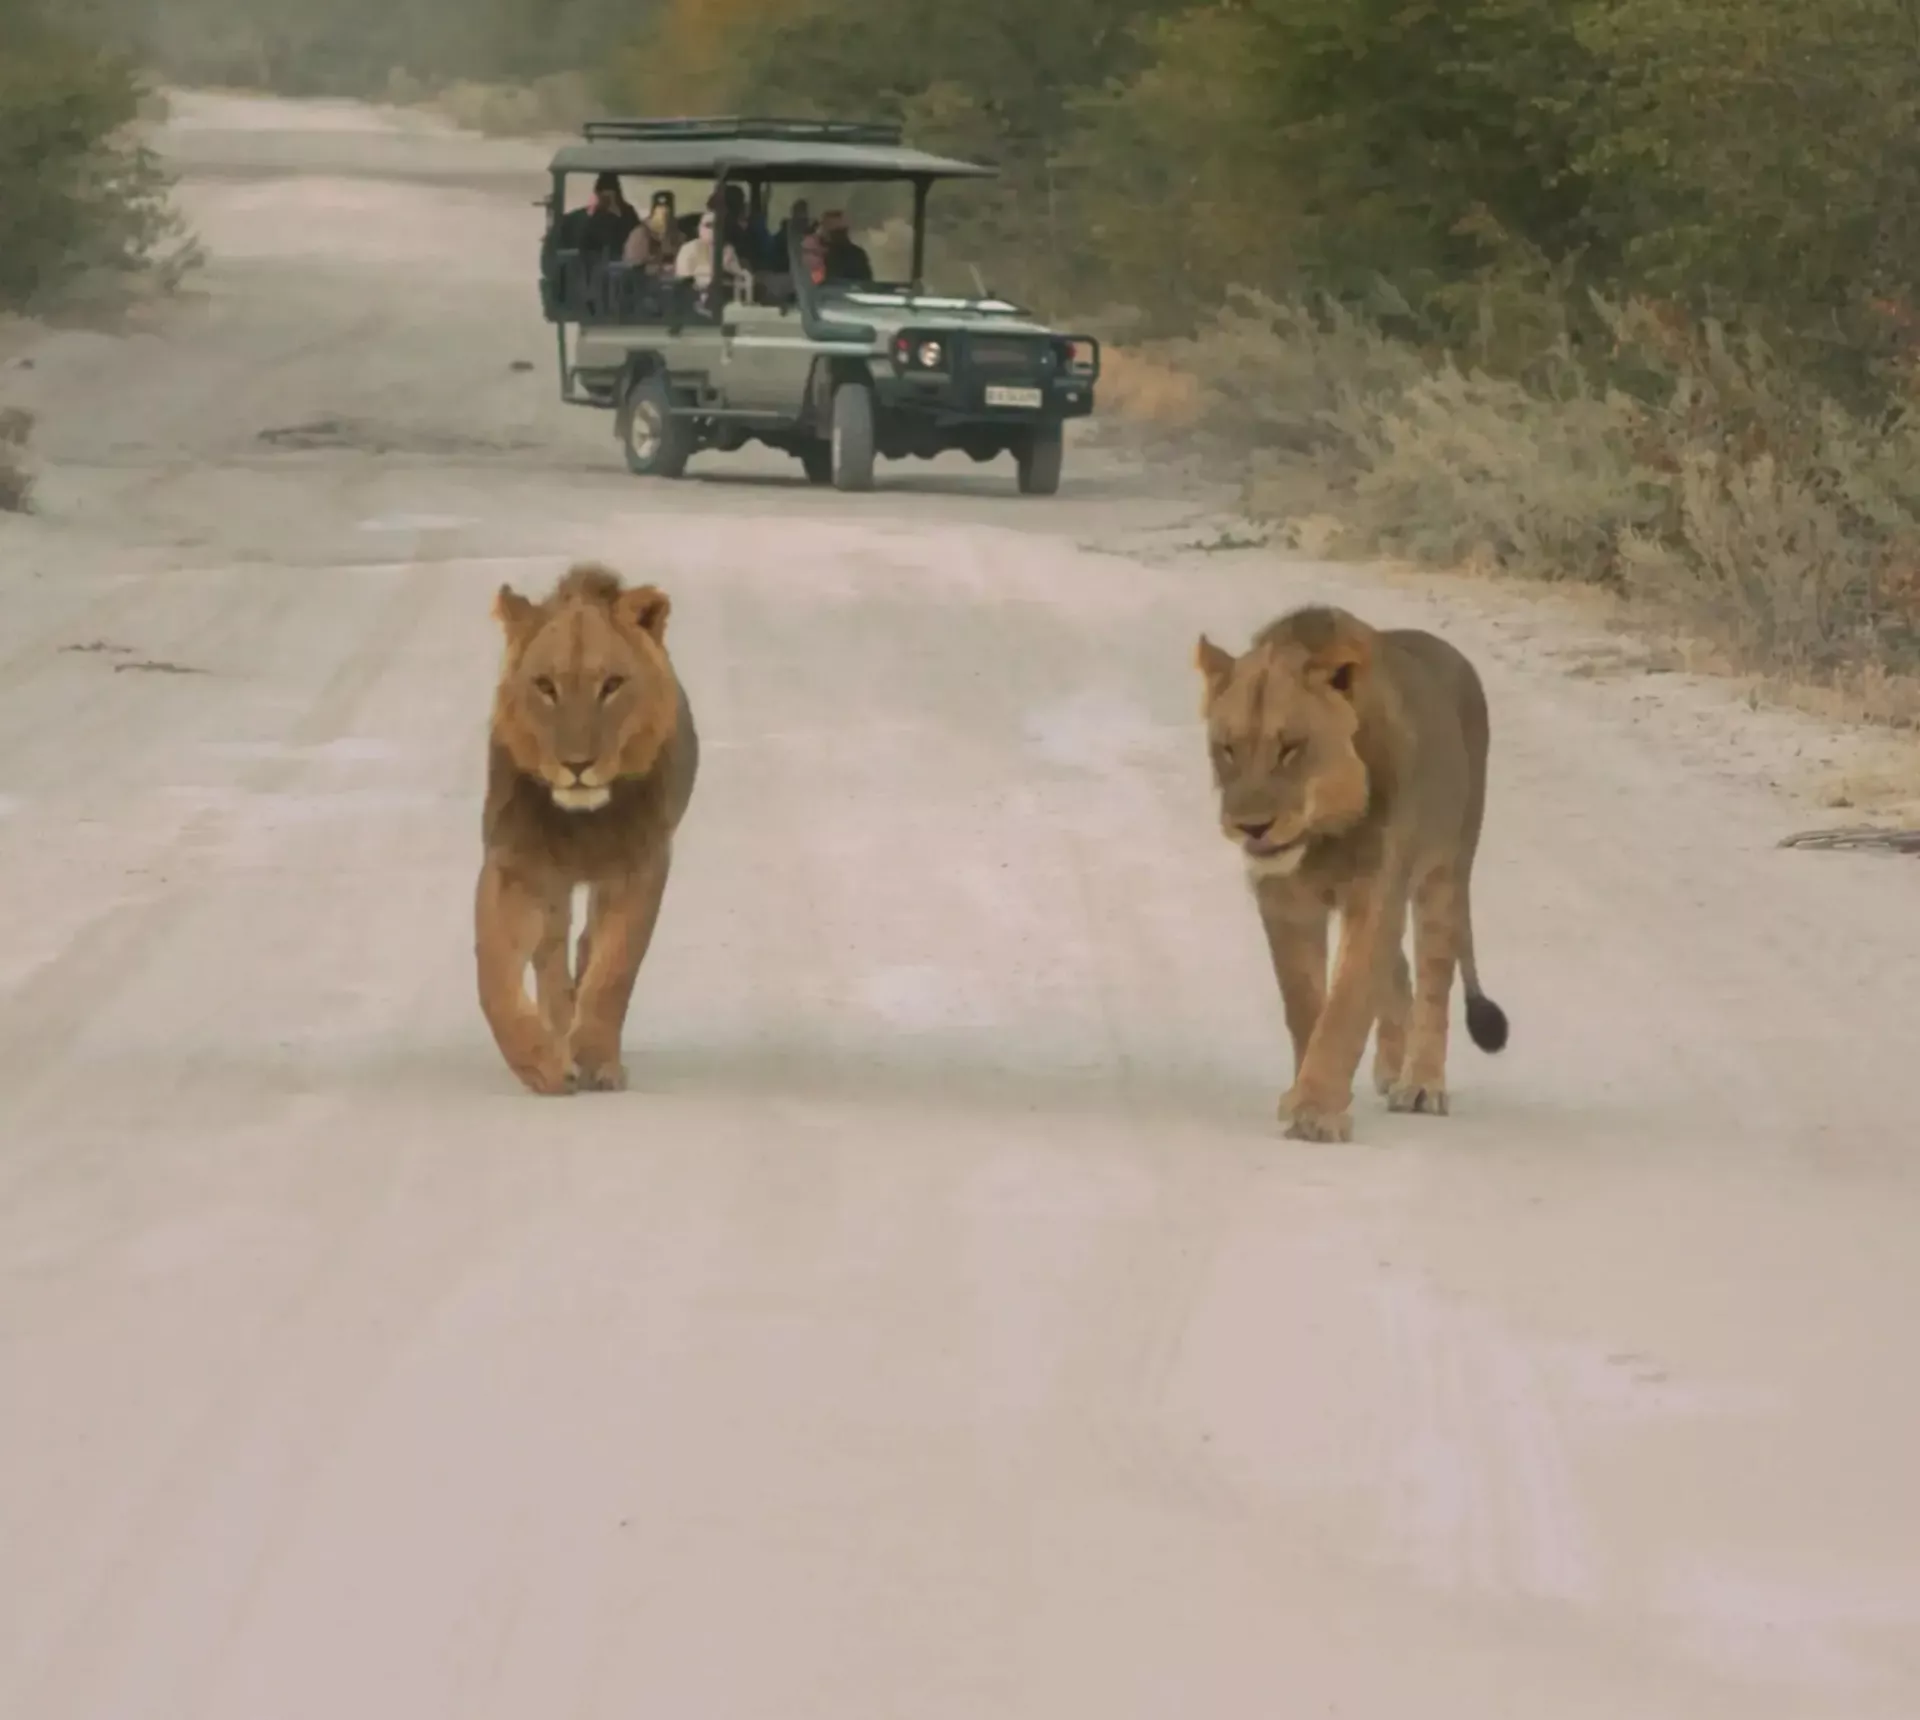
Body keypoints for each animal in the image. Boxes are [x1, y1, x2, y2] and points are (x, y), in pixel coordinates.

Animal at [476, 560, 699, 1095]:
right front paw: (540, 1063)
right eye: (545, 686)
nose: (577, 765)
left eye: (612, 685)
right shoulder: (515, 864)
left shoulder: (639, 867)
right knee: (551, 952)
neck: (582, 820)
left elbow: (614, 969)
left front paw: (597, 1059)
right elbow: (493, 970)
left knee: (584, 945)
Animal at [1195, 604, 1509, 1143]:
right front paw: (1307, 1096)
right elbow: (1306, 1003)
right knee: (1399, 973)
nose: (1251, 827)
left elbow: (1346, 1005)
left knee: (1433, 977)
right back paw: (1389, 1067)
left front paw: (1318, 1111)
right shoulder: (1284, 903)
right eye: (1228, 748)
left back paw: (1421, 1084)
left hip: (1445, 870)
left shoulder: (1378, 892)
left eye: (1291, 747)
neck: (1325, 832)